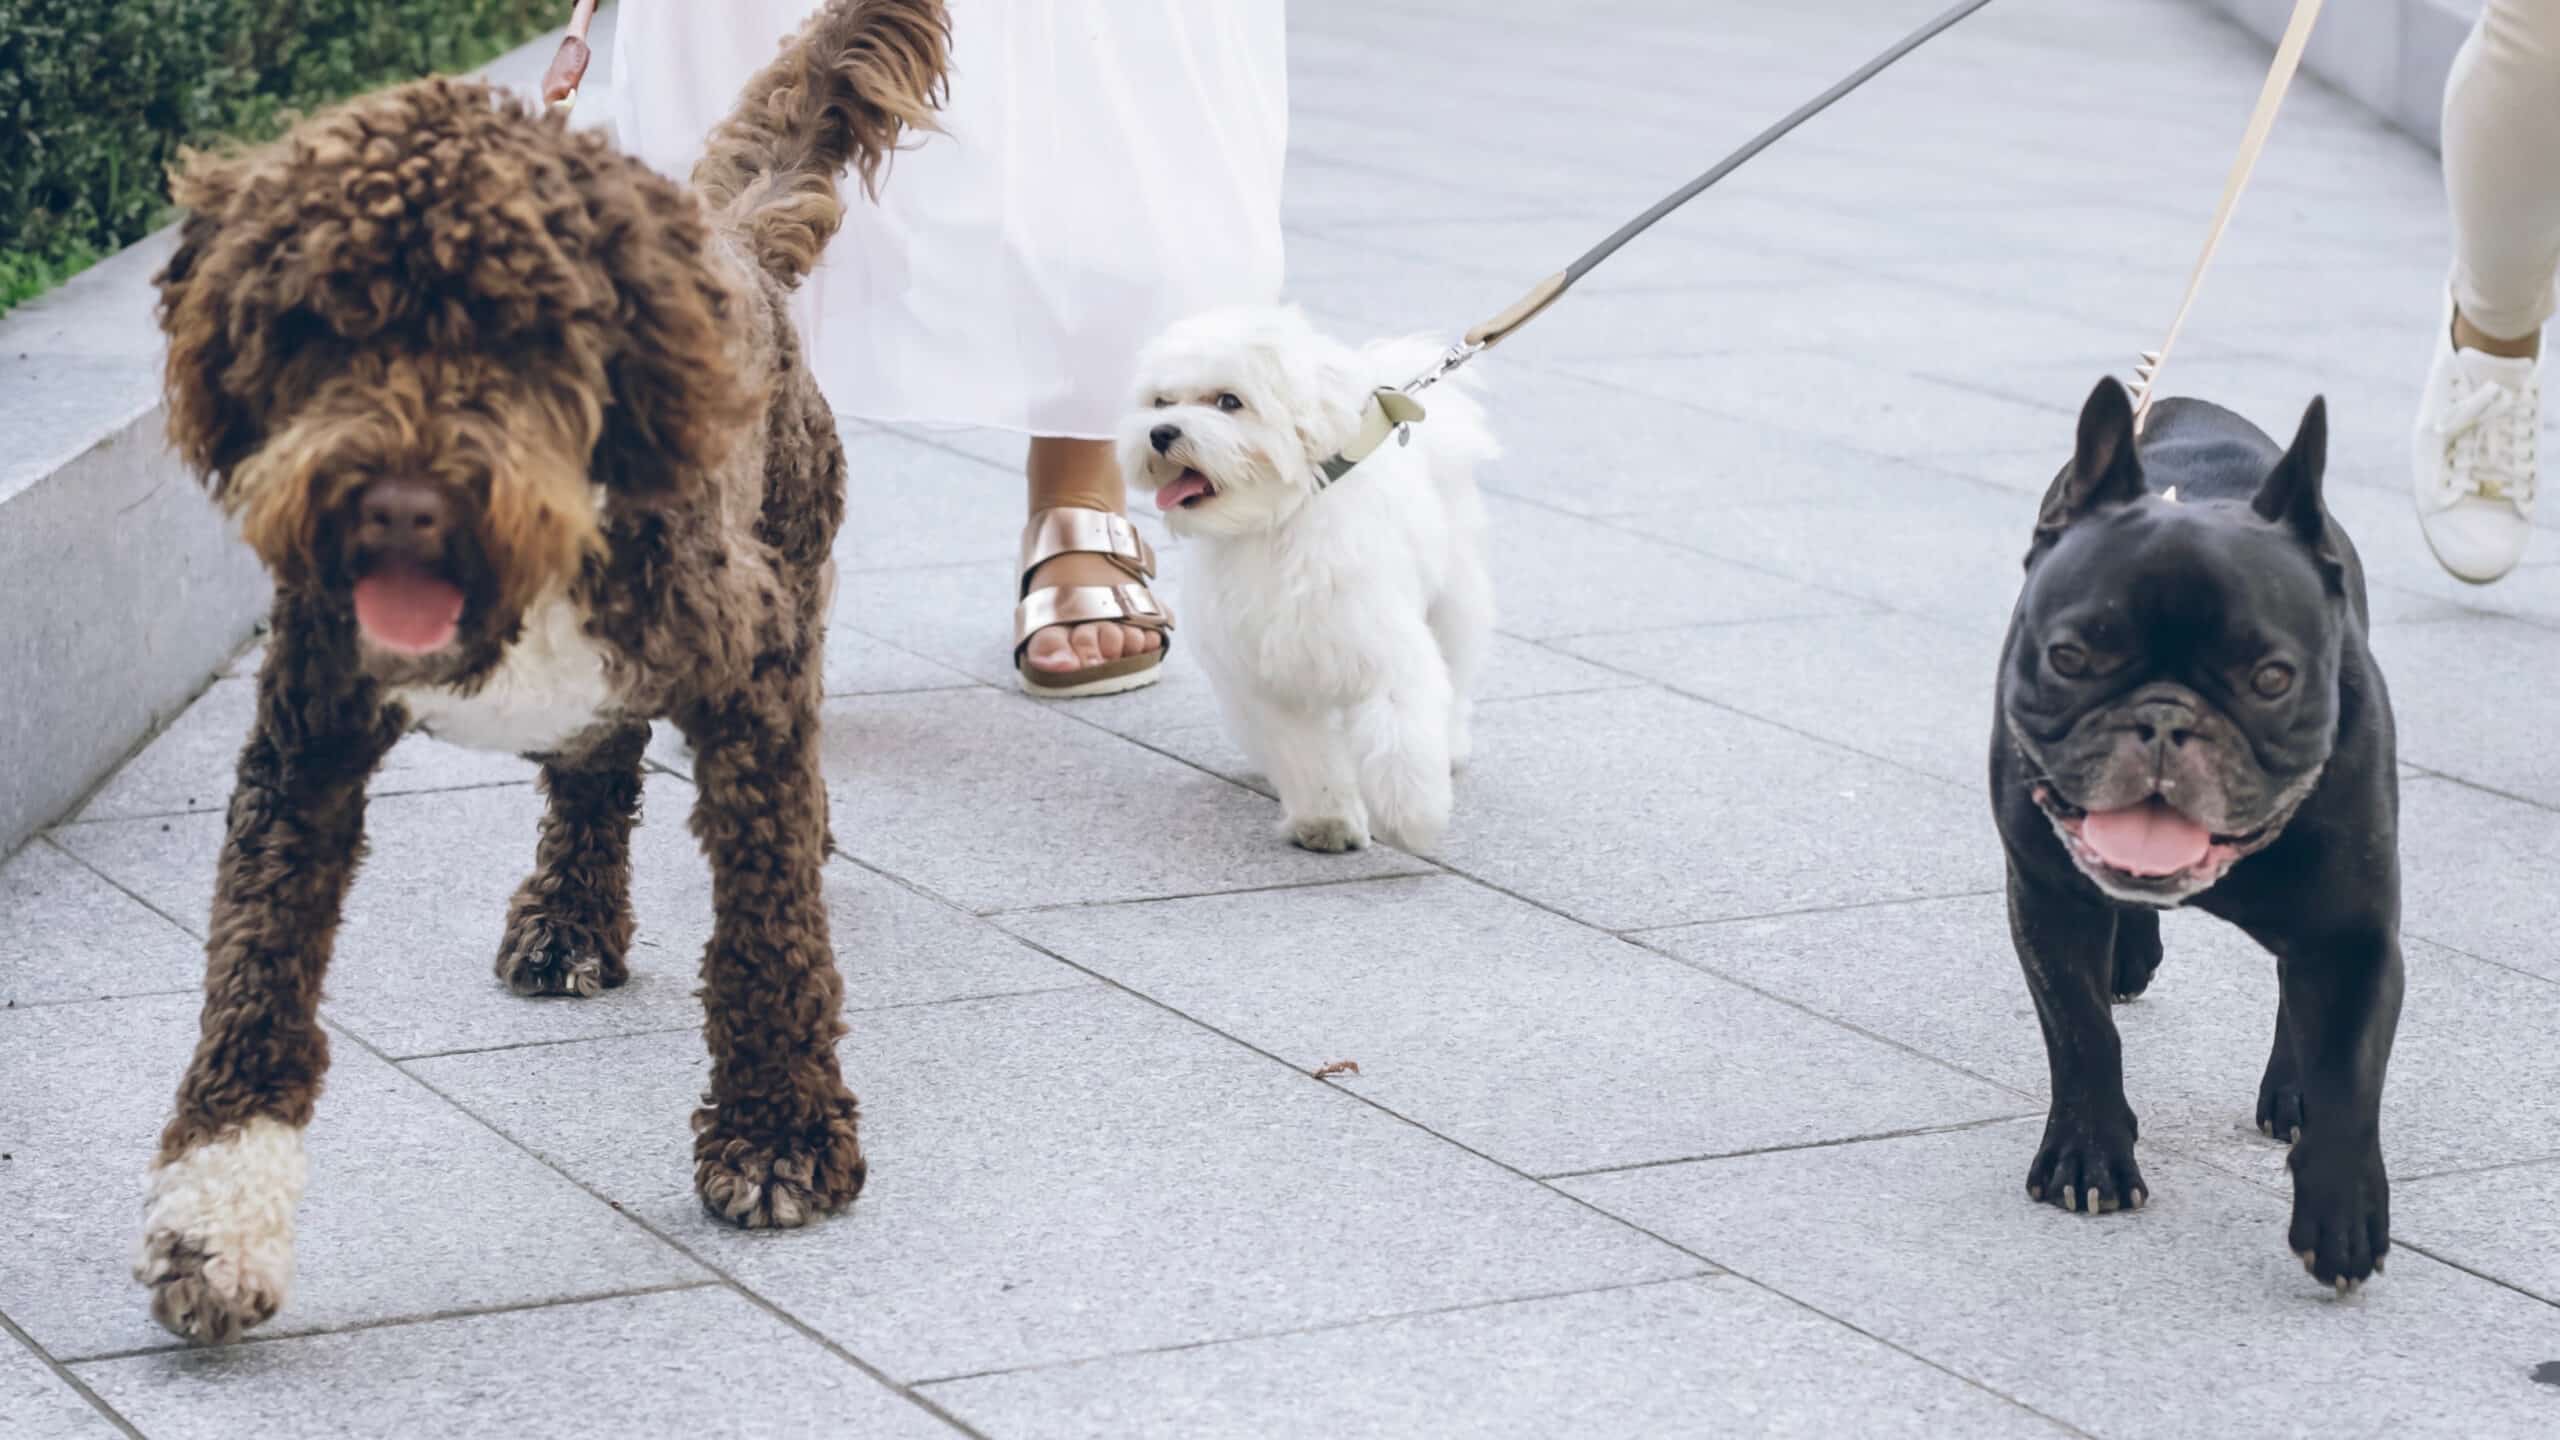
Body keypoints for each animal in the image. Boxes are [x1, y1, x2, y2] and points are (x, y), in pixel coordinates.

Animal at [135, 2, 952, 1342]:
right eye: (318, 324)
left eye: (520, 330)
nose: (398, 506)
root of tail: (729, 237)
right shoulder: (303, 740)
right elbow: (253, 972)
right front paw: (214, 1222)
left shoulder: (751, 673)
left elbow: (769, 927)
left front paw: (778, 1133)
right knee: (593, 771)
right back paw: (567, 918)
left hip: (793, 543)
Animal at [1121, 299, 1495, 840]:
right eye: (1160, 402)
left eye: (1229, 402)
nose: (1161, 432)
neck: (1274, 523)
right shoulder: (1266, 680)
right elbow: (1305, 754)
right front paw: (1327, 820)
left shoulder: (1382, 646)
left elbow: (1399, 733)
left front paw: (1412, 812)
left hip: (1454, 596)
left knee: (1457, 667)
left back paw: (1451, 746)